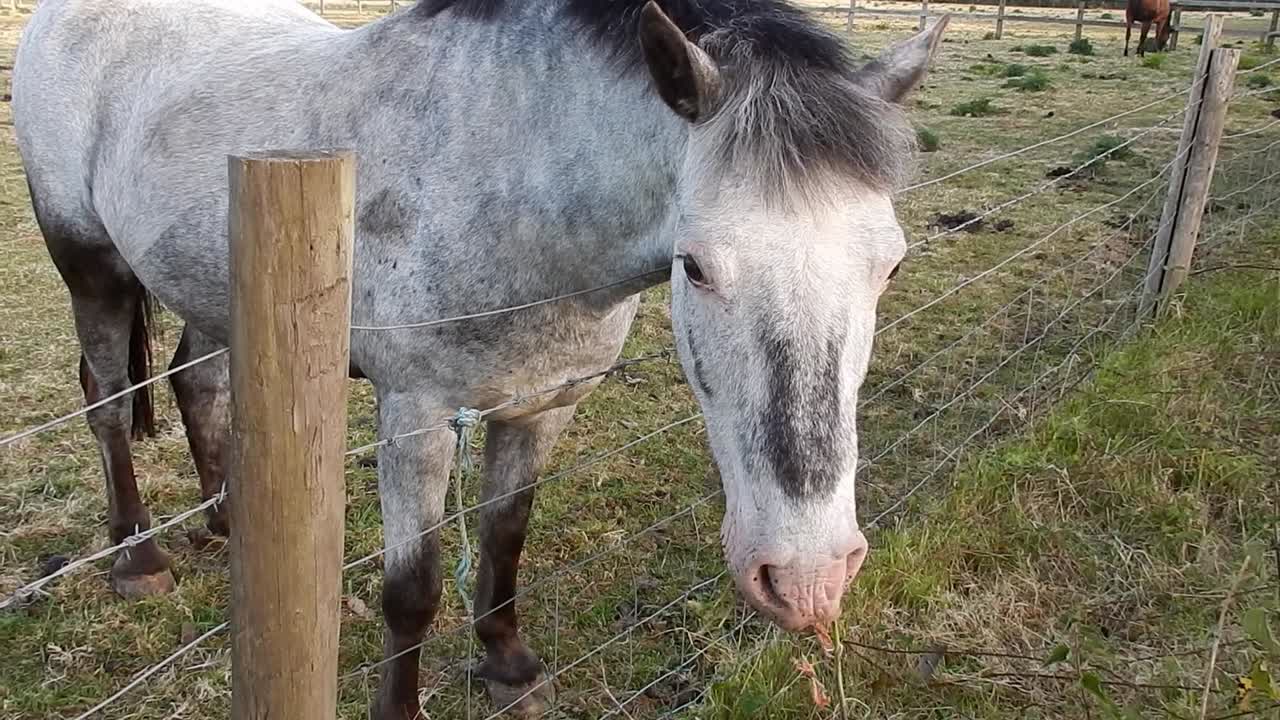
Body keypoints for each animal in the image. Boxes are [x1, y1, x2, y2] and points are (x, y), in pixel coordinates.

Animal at [13, 0, 948, 716]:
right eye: (696, 265)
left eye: (892, 265)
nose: (808, 577)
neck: (510, 176)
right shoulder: (416, 415)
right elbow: (414, 588)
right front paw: (399, 706)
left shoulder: (543, 404)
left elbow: (505, 537)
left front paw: (508, 665)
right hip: (91, 267)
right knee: (107, 403)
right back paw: (137, 559)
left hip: (213, 285)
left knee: (198, 383)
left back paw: (230, 524)